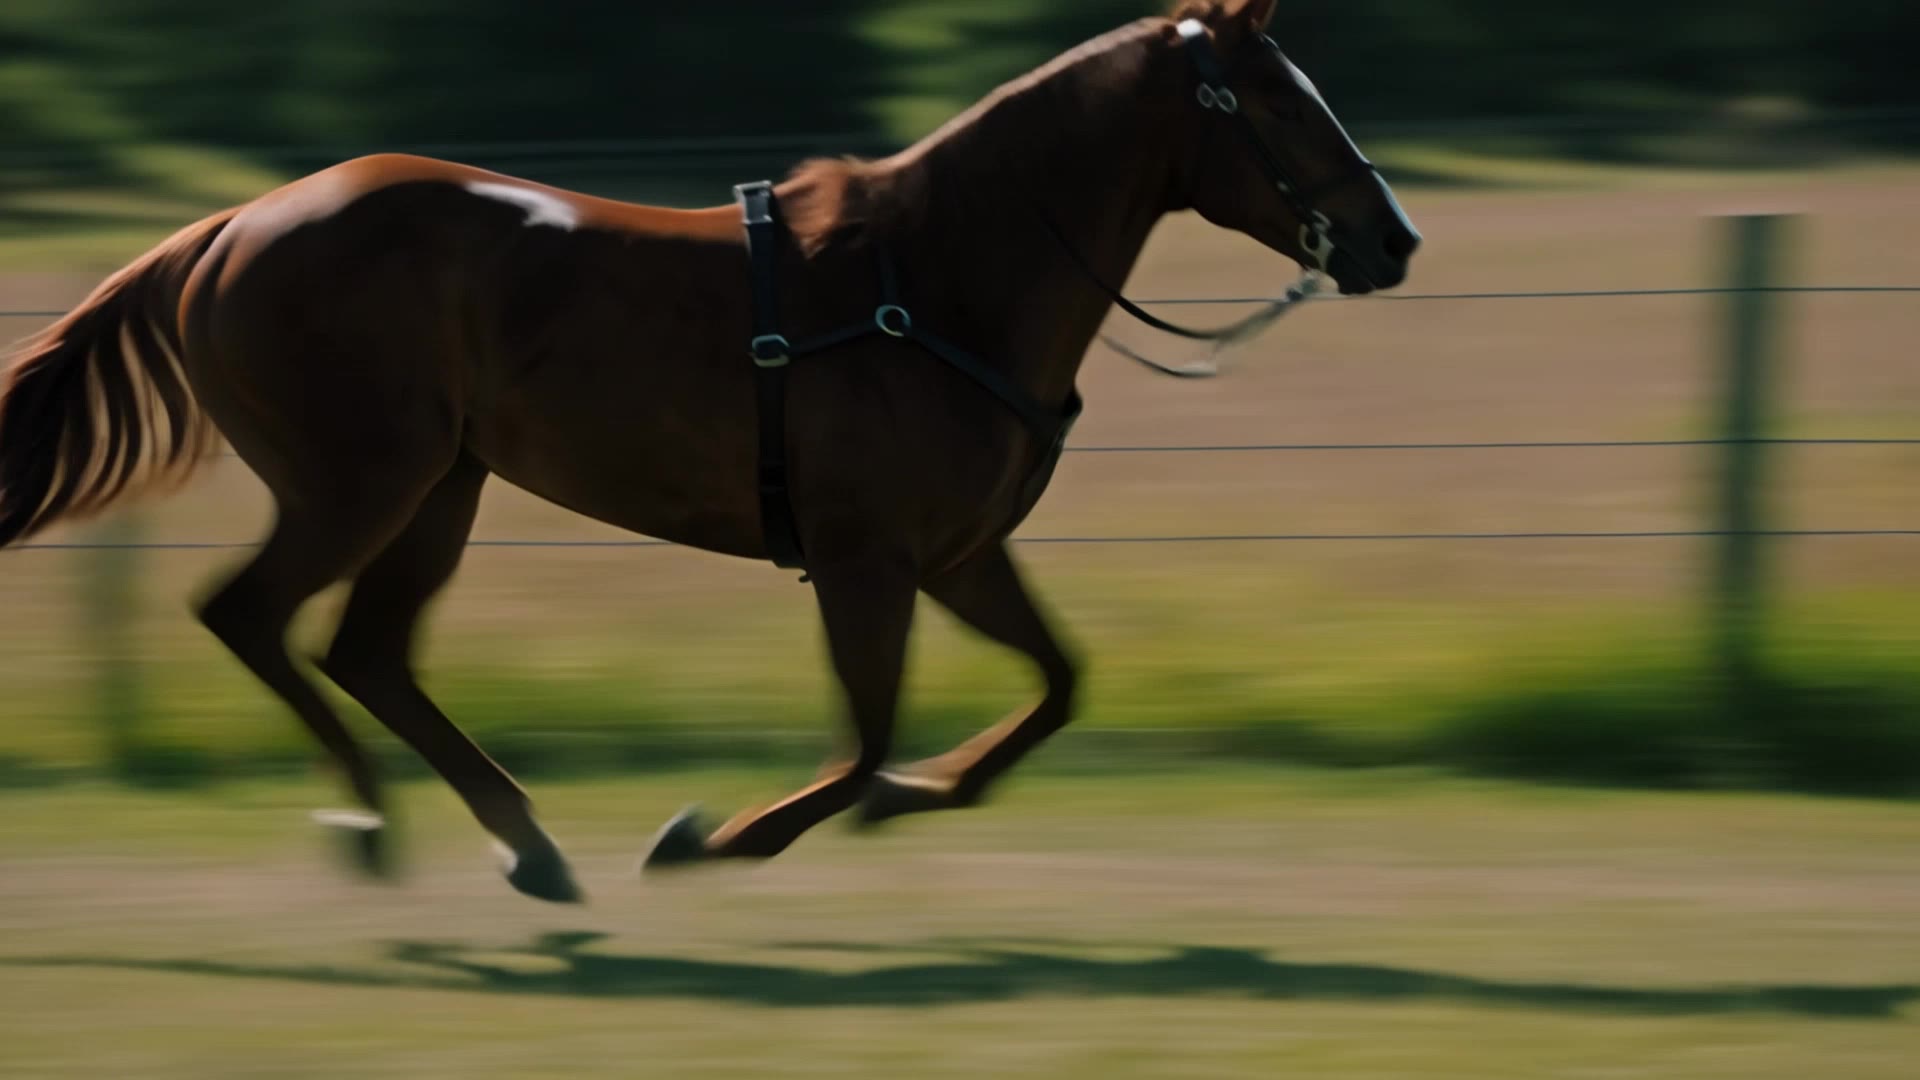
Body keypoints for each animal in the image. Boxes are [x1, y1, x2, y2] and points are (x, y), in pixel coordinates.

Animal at [0, 0, 1418, 903]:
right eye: (1277, 98)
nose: (1391, 239)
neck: (930, 280)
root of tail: (232, 228)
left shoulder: (958, 558)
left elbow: (1056, 688)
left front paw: (908, 796)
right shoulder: (865, 560)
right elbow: (865, 735)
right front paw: (716, 836)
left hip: (440, 486)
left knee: (367, 652)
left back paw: (522, 843)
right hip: (357, 484)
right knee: (253, 618)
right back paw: (367, 819)